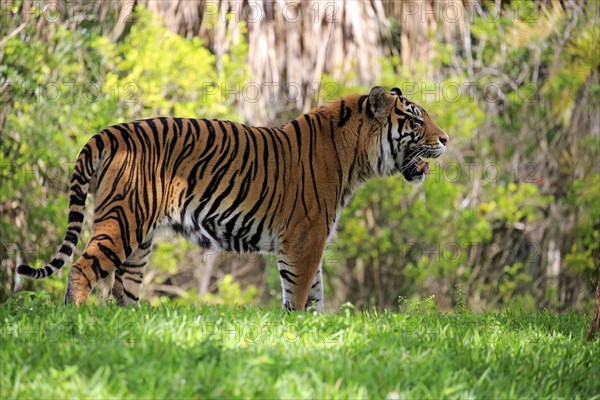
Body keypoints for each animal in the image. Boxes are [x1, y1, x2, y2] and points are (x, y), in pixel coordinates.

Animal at [16, 86, 448, 310]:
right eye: (415, 118)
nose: (445, 139)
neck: (356, 157)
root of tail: (110, 131)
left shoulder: (309, 241)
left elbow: (315, 296)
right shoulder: (303, 241)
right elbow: (300, 293)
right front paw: (295, 331)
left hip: (140, 237)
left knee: (125, 289)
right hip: (123, 221)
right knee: (81, 268)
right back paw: (78, 319)